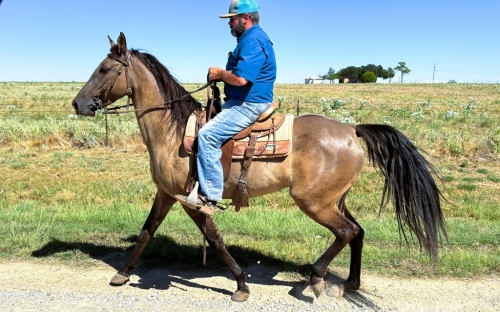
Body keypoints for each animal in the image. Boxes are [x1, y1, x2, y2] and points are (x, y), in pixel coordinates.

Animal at [71, 32, 450, 302]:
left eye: (104, 69)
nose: (78, 103)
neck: (173, 130)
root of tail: (351, 130)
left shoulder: (192, 200)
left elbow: (215, 239)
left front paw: (240, 284)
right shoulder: (166, 193)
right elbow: (147, 231)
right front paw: (123, 272)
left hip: (314, 202)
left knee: (346, 232)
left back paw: (316, 278)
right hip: (335, 200)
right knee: (358, 231)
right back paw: (349, 284)